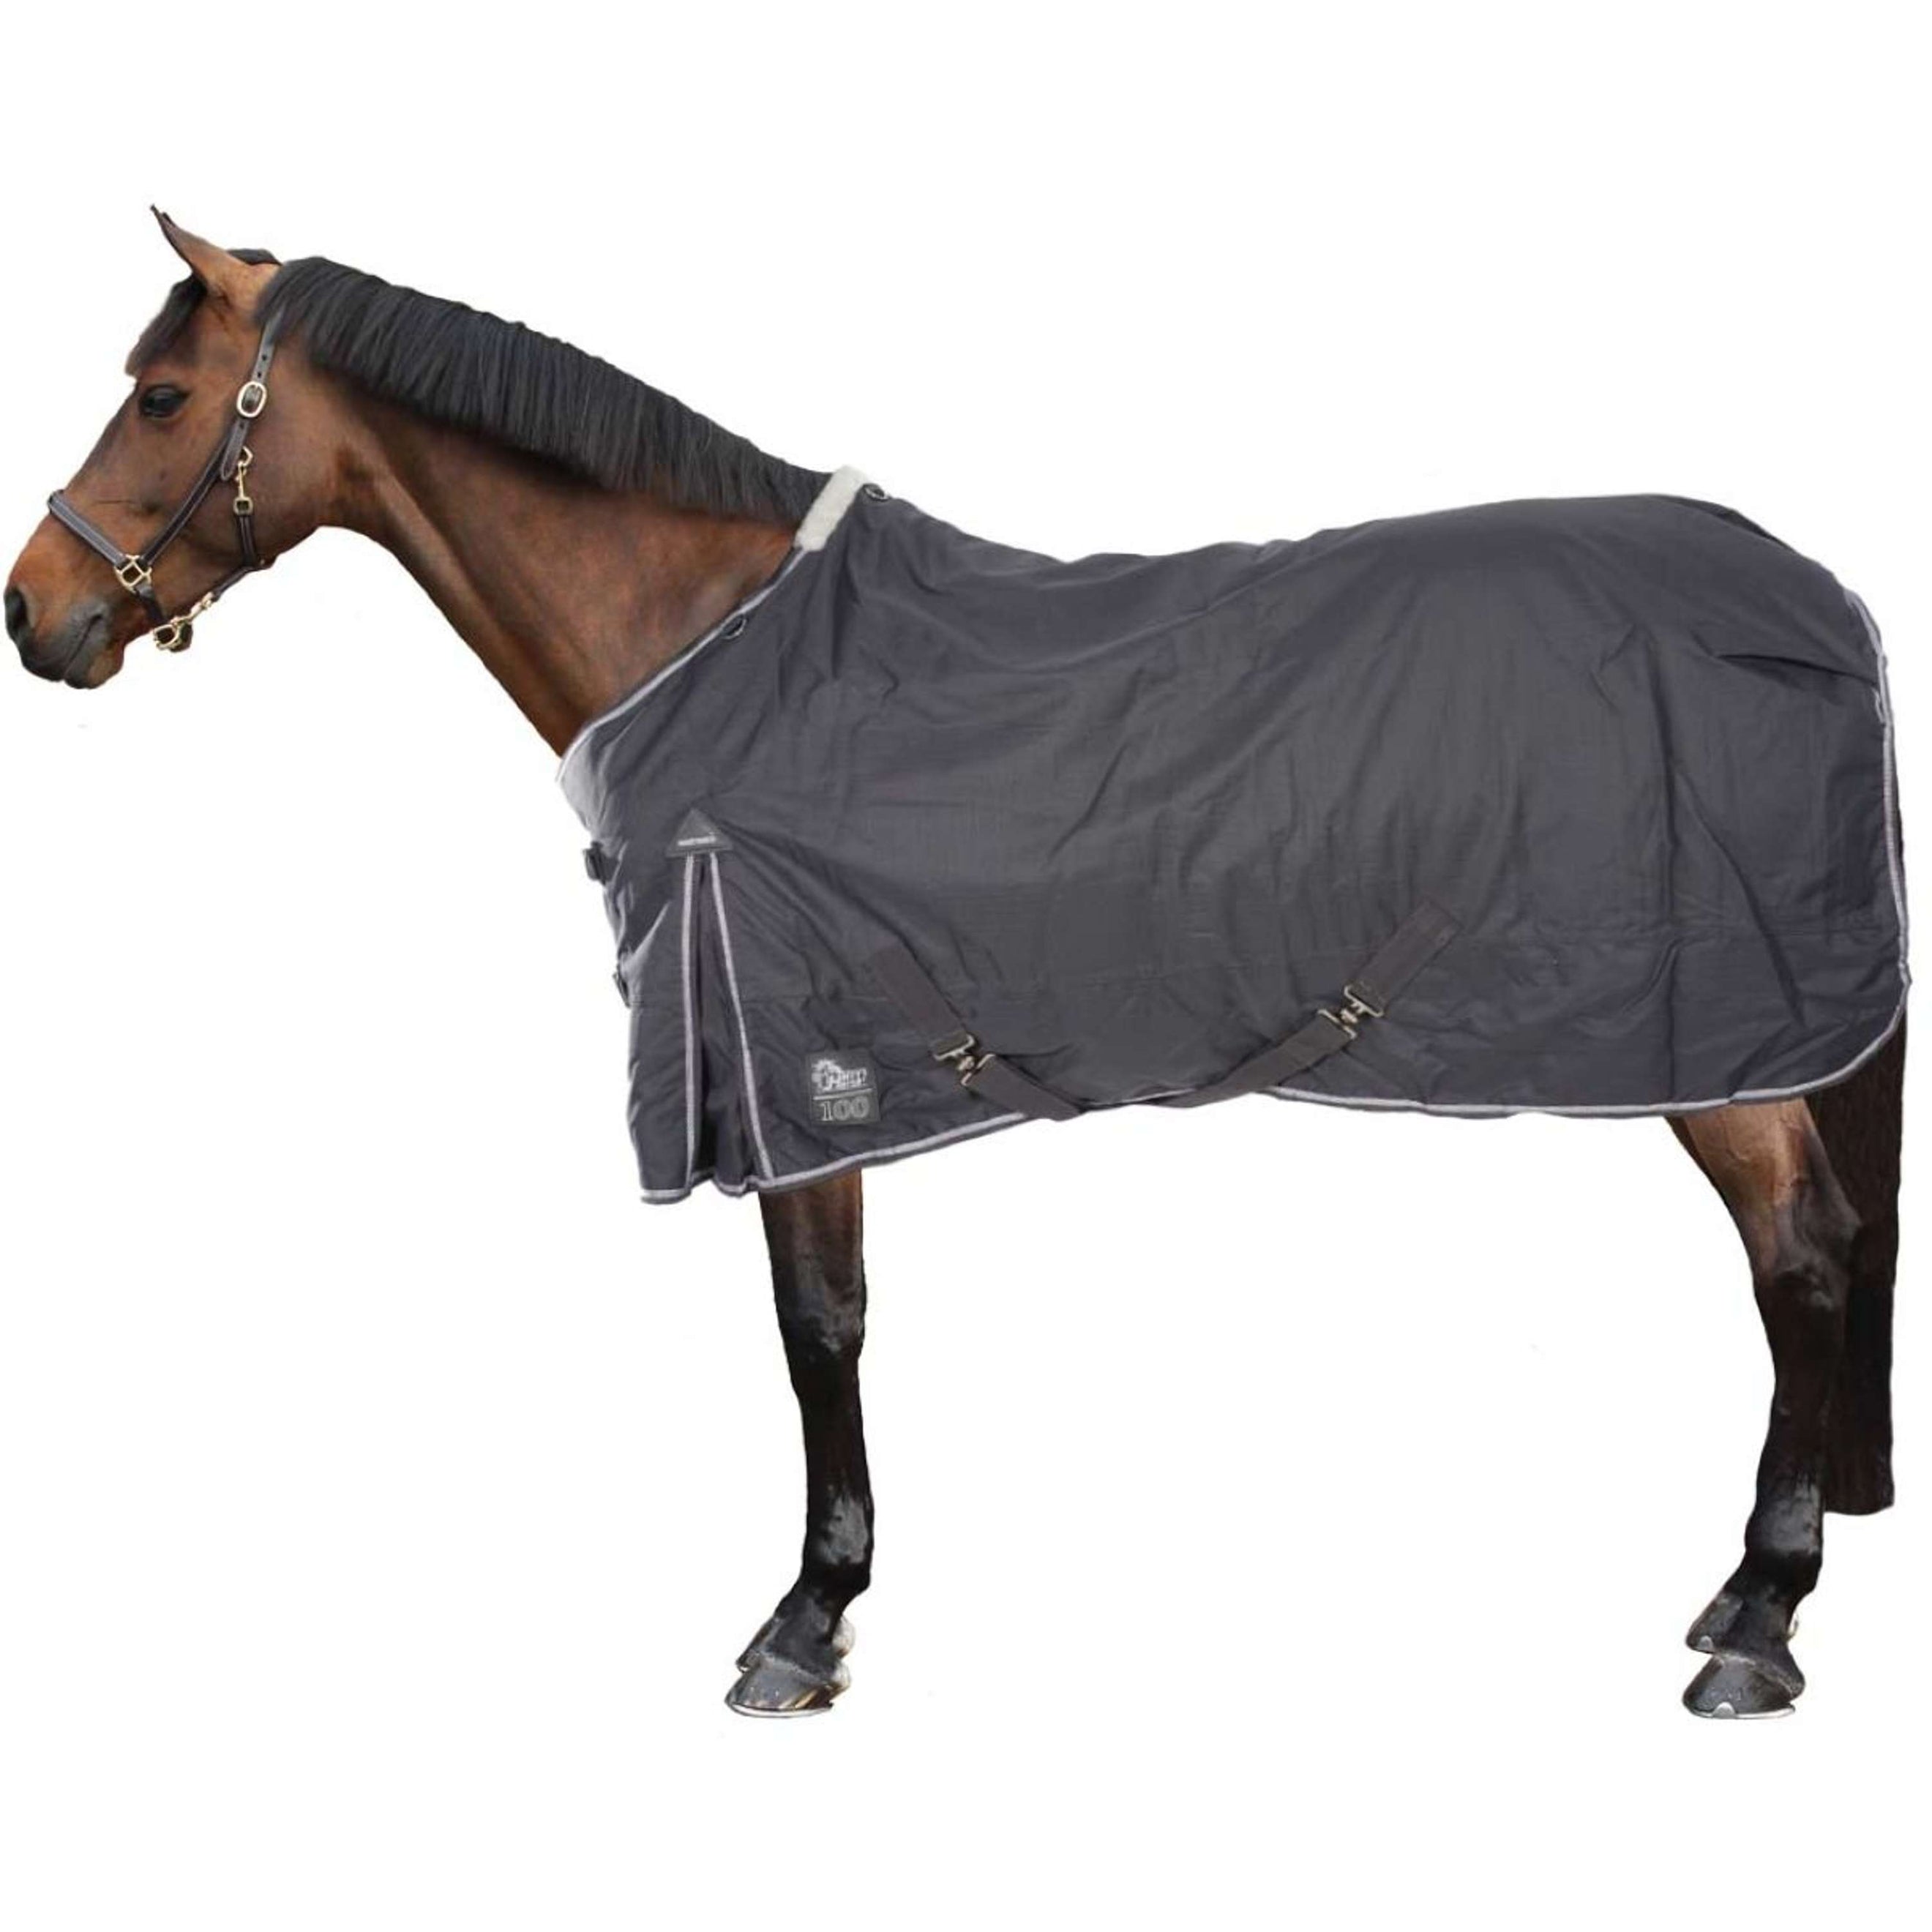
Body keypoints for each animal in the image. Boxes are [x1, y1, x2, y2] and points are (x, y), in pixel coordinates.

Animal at [6, 213, 1905, 1720]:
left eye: (162, 397)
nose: (35, 614)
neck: (717, 646)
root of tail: (1817, 601)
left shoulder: (789, 1060)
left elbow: (818, 1327)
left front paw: (804, 1621)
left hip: (1716, 1039)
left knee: (1803, 1258)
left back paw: (1758, 1623)